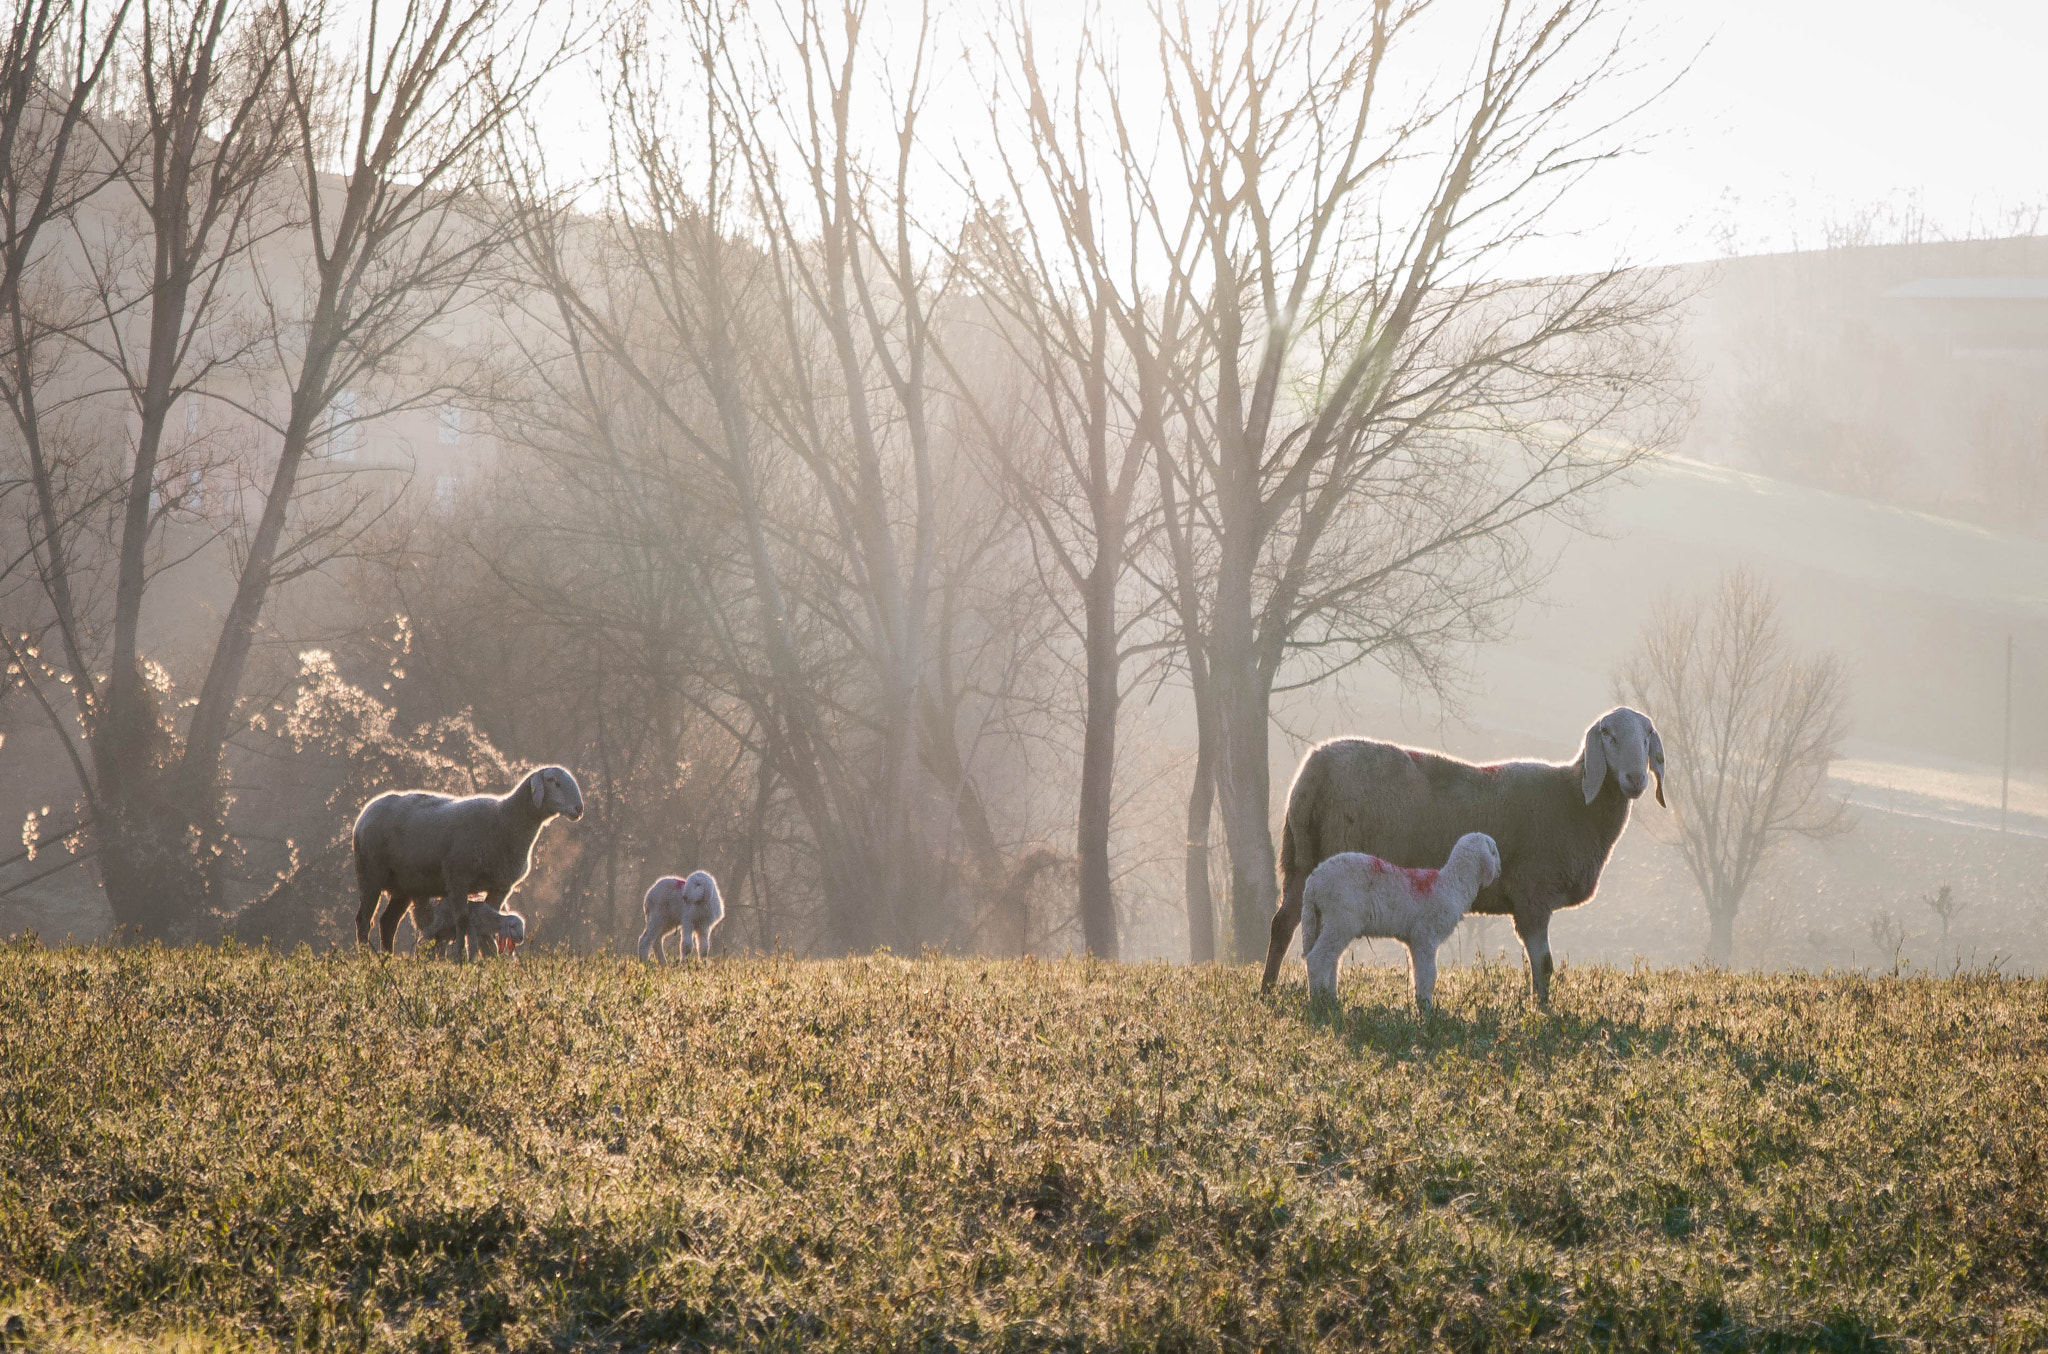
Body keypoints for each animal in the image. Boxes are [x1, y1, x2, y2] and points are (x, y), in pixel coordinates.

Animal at [353, 765, 583, 961]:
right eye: (554, 781)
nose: (579, 808)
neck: (505, 819)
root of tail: (367, 811)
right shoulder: (457, 878)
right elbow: (462, 920)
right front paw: (461, 958)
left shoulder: (500, 887)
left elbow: (488, 919)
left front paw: (489, 956)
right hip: (370, 875)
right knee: (364, 920)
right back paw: (366, 959)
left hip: (405, 886)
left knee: (388, 922)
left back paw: (388, 958)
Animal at [1301, 832, 1501, 1013]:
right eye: (1494, 852)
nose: (1499, 870)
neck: (1453, 884)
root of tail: (1313, 881)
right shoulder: (1425, 936)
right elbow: (1429, 975)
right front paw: (1428, 1011)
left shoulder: (1414, 940)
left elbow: (1417, 974)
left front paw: (1420, 1005)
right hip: (1341, 918)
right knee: (1317, 959)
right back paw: (1318, 1004)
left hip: (1321, 919)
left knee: (1331, 960)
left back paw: (1331, 1001)